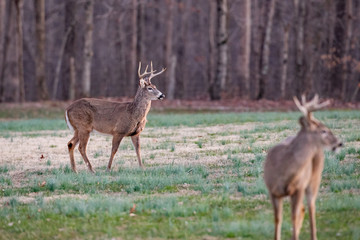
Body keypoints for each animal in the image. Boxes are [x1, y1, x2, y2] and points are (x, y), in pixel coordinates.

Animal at [264, 94, 344, 239]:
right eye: (323, 130)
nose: (339, 143)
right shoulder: (272, 190)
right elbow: (278, 219)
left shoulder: (299, 187)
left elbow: (293, 217)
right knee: (302, 209)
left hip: (314, 180)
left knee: (311, 208)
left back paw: (313, 236)